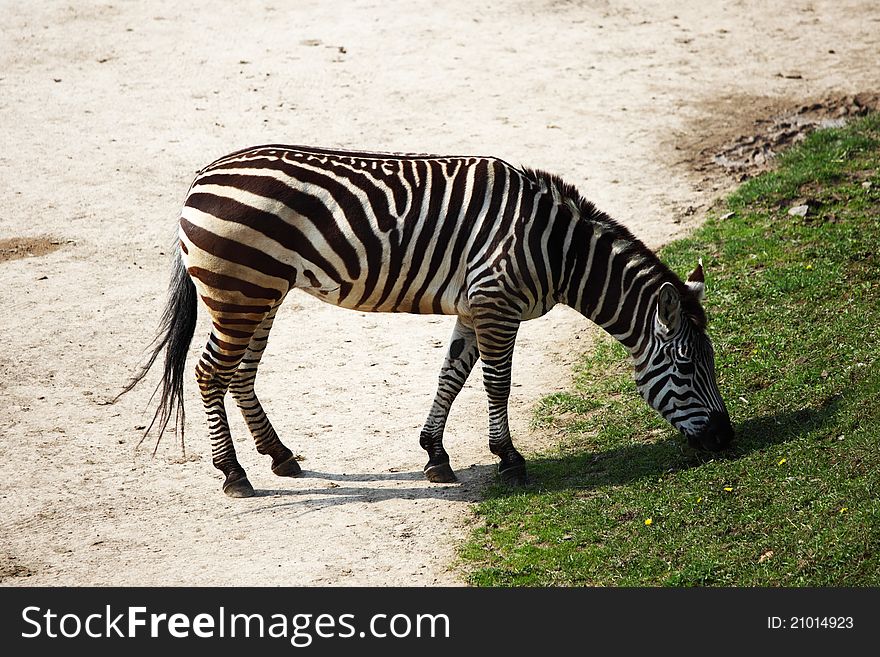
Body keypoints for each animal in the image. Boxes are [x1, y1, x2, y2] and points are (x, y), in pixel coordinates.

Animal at [118, 145, 736, 498]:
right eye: (688, 367)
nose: (727, 440)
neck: (558, 250)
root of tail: (200, 177)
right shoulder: (497, 302)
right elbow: (496, 383)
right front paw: (509, 460)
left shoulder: (474, 306)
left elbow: (452, 377)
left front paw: (436, 455)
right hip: (240, 291)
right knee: (209, 374)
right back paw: (233, 474)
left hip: (260, 293)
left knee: (239, 374)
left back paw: (280, 457)